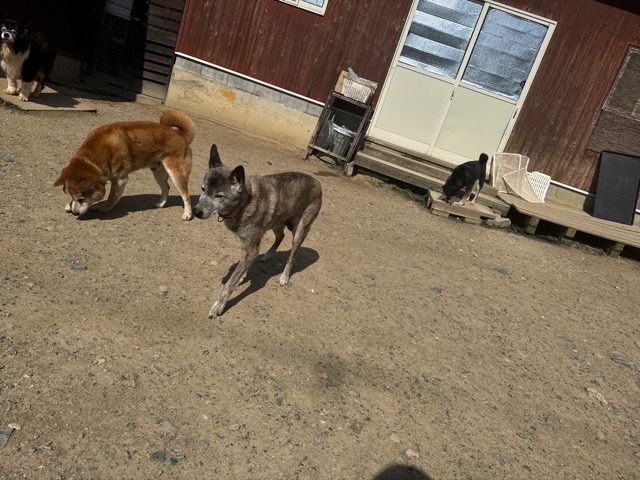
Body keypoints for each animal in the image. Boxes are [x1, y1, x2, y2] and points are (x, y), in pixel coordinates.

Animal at [54, 110, 195, 221]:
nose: (74, 213)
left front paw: (103, 208)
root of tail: (181, 136)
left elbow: (112, 197)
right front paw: (69, 204)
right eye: (72, 197)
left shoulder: (120, 179)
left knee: (186, 195)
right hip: (158, 171)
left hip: (176, 173)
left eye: (82, 199)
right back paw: (161, 203)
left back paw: (187, 214)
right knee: (166, 187)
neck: (92, 160)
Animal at [194, 144, 323, 319]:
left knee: (292, 256)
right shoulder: (250, 246)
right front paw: (242, 276)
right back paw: (268, 255)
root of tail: (317, 182)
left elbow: (229, 284)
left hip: (299, 230)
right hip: (276, 221)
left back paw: (284, 277)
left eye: (219, 196)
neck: (244, 203)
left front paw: (218, 306)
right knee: (280, 236)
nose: (196, 212)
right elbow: (243, 266)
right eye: (203, 189)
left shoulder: (251, 247)